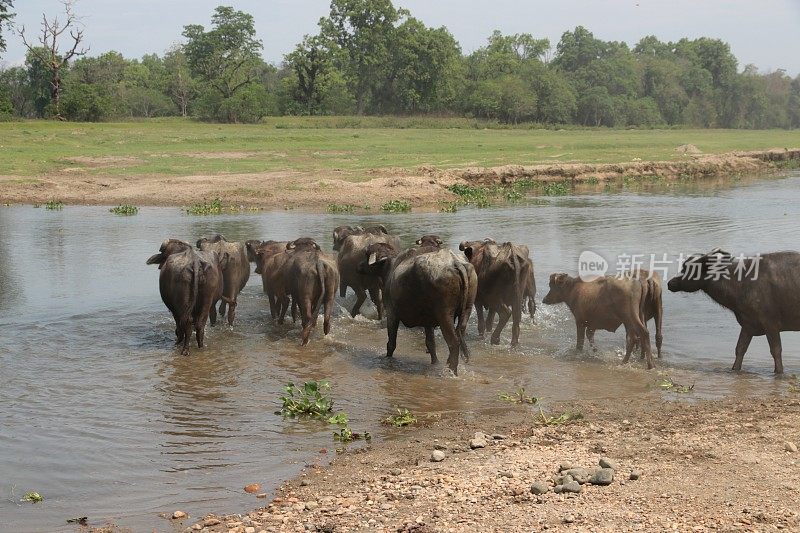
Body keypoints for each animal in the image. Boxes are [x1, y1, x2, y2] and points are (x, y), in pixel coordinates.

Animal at [360, 239, 478, 372]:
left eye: (366, 254)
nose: (359, 266)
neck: (389, 268)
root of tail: (455, 262)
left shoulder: (391, 314)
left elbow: (391, 343)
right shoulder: (428, 321)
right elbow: (430, 344)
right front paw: (435, 362)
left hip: (445, 315)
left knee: (454, 342)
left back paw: (451, 369)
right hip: (467, 310)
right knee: (460, 332)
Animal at [664, 247, 800, 372]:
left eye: (689, 268)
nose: (670, 283)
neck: (742, 282)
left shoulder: (770, 324)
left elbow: (776, 351)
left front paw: (779, 372)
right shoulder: (748, 324)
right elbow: (740, 349)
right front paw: (734, 369)